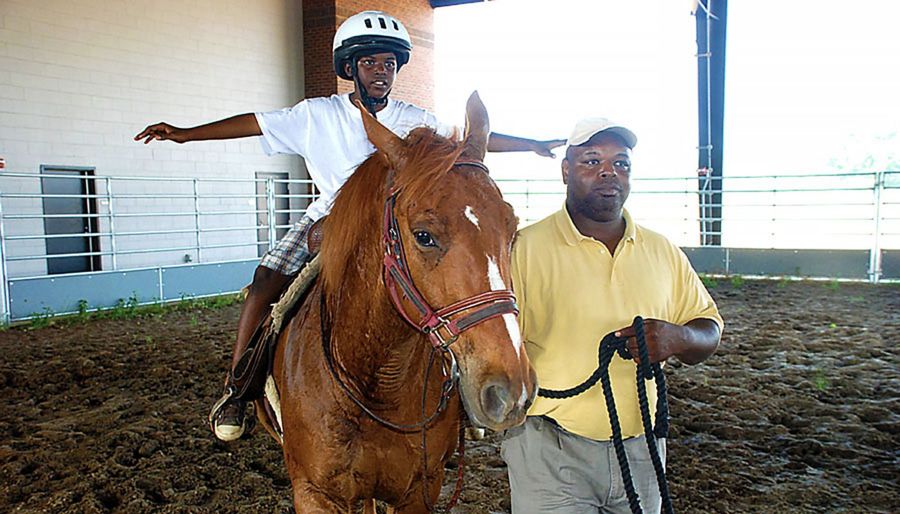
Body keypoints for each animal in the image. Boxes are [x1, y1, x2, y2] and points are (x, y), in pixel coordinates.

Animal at [253, 93, 536, 512]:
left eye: (512, 229)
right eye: (423, 235)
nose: (510, 391)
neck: (375, 379)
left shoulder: (420, 489)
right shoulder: (314, 493)